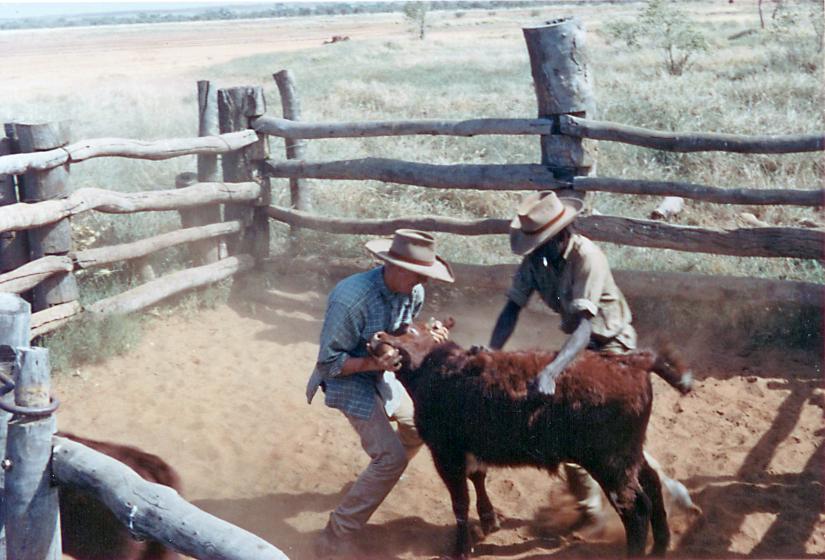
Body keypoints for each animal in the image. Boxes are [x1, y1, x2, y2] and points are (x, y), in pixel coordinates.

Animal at [368, 319, 693, 558]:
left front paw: (461, 548)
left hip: (609, 461)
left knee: (635, 508)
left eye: (408, 329)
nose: (376, 336)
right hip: (630, 453)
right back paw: (660, 547)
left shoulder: (446, 453)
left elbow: (460, 501)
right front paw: (489, 521)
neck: (440, 369)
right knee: (652, 483)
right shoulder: (471, 450)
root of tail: (633, 361)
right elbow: (478, 479)